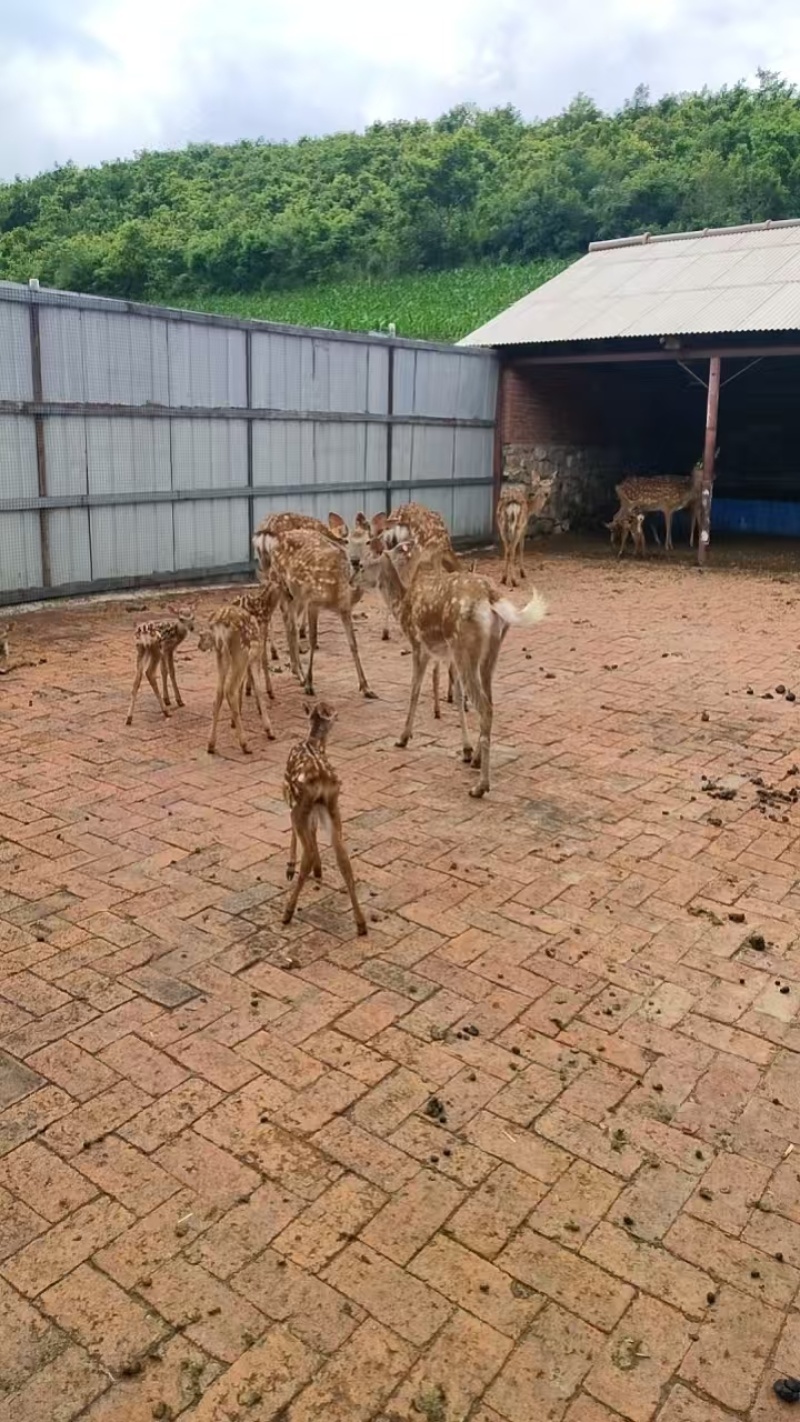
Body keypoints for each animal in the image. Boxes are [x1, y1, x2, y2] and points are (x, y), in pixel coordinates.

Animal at [198, 603, 274, 755]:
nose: (200, 645)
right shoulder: (254, 658)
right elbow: (258, 689)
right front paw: (268, 730)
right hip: (241, 652)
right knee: (230, 690)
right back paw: (245, 744)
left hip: (221, 656)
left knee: (219, 693)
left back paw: (211, 745)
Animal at [268, 527, 375, 699]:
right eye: (346, 541)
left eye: (368, 541)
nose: (355, 561)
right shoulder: (313, 601)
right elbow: (313, 640)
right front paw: (309, 685)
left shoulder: (345, 610)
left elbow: (353, 644)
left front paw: (366, 687)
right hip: (281, 584)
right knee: (291, 626)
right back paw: (300, 674)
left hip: (296, 596)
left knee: (290, 625)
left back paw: (295, 670)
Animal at [282, 700, 366, 936]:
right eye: (331, 711)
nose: (338, 715)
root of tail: (321, 776)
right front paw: (319, 869)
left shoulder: (289, 797)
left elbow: (294, 830)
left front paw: (290, 866)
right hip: (333, 805)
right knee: (343, 857)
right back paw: (361, 924)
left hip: (302, 804)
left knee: (308, 853)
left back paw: (287, 912)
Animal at [361, 538, 546, 798]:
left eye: (364, 563)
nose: (351, 577)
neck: (403, 606)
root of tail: (491, 597)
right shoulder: (447, 655)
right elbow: (458, 697)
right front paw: (466, 750)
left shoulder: (419, 645)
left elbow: (415, 690)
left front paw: (403, 738)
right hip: (488, 652)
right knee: (489, 702)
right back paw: (477, 761)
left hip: (464, 647)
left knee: (484, 706)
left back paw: (480, 786)